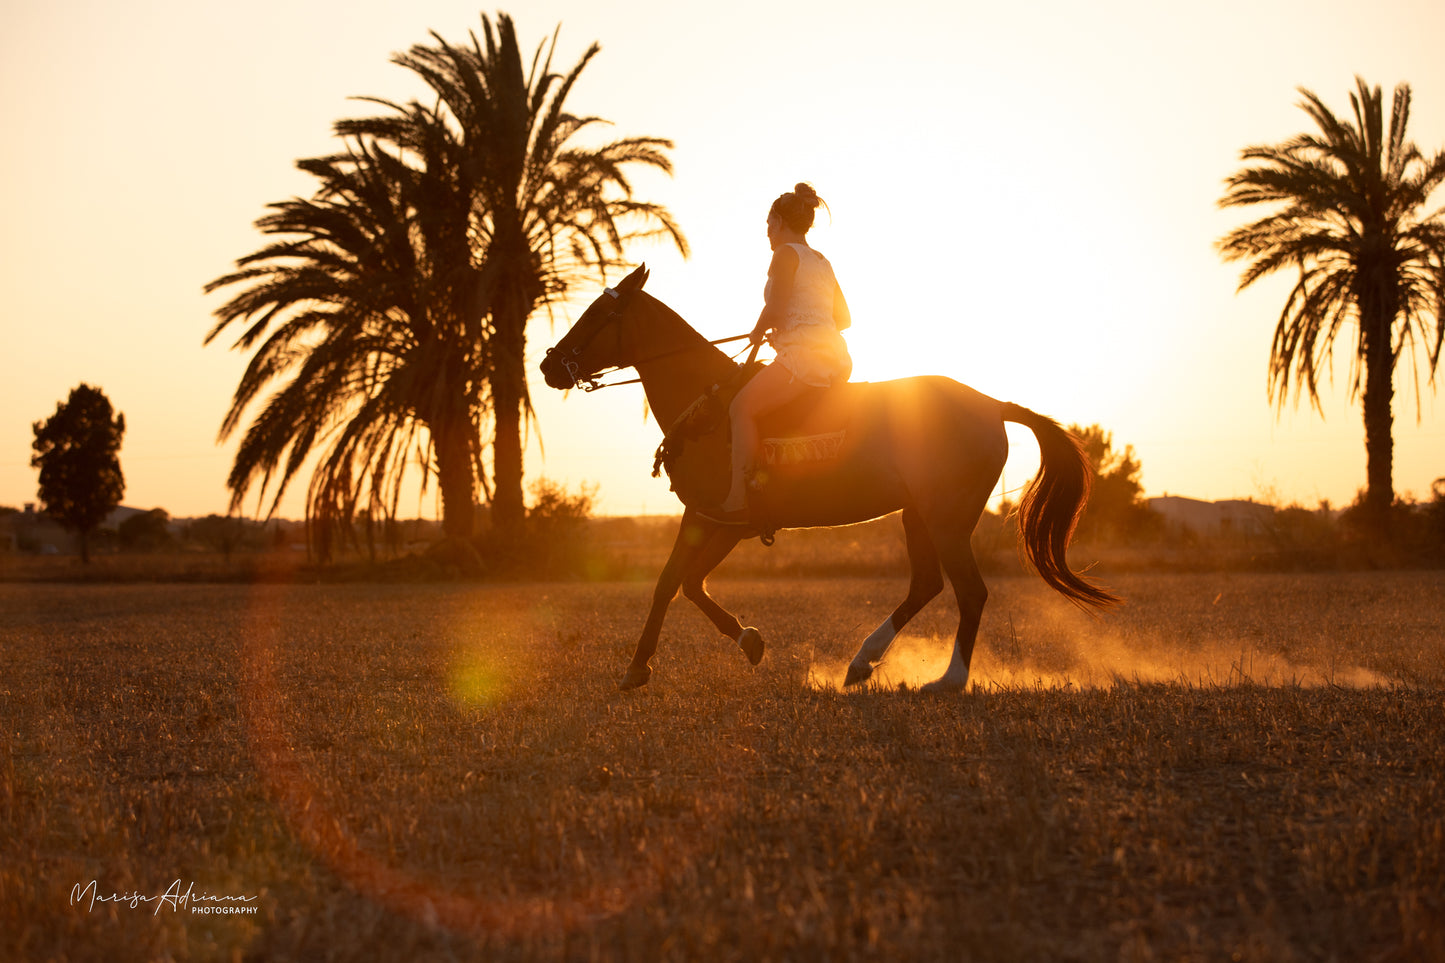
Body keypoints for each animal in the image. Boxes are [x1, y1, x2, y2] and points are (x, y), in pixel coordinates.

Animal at [543, 263, 1115, 691]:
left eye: (600, 313)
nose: (550, 366)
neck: (708, 405)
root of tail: (992, 405)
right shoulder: (711, 520)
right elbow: (680, 584)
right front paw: (742, 642)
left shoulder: (720, 521)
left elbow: (674, 583)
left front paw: (644, 665)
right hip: (917, 516)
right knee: (927, 585)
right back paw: (862, 661)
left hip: (947, 519)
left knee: (970, 592)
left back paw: (948, 680)